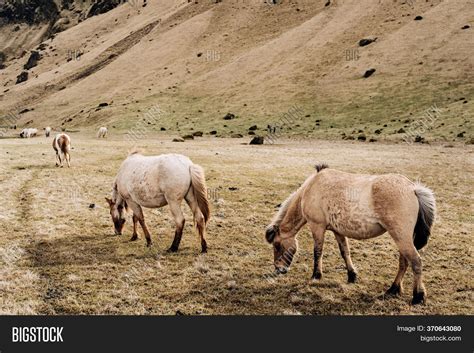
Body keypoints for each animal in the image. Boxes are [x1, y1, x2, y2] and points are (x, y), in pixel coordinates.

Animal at [264, 164, 436, 304]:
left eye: (277, 245)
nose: (279, 270)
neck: (311, 188)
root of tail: (413, 189)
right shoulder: (338, 231)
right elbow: (345, 252)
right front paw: (352, 275)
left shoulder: (317, 227)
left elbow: (318, 252)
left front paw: (316, 276)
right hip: (402, 238)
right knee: (404, 262)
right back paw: (393, 289)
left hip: (401, 237)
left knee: (416, 262)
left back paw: (418, 296)